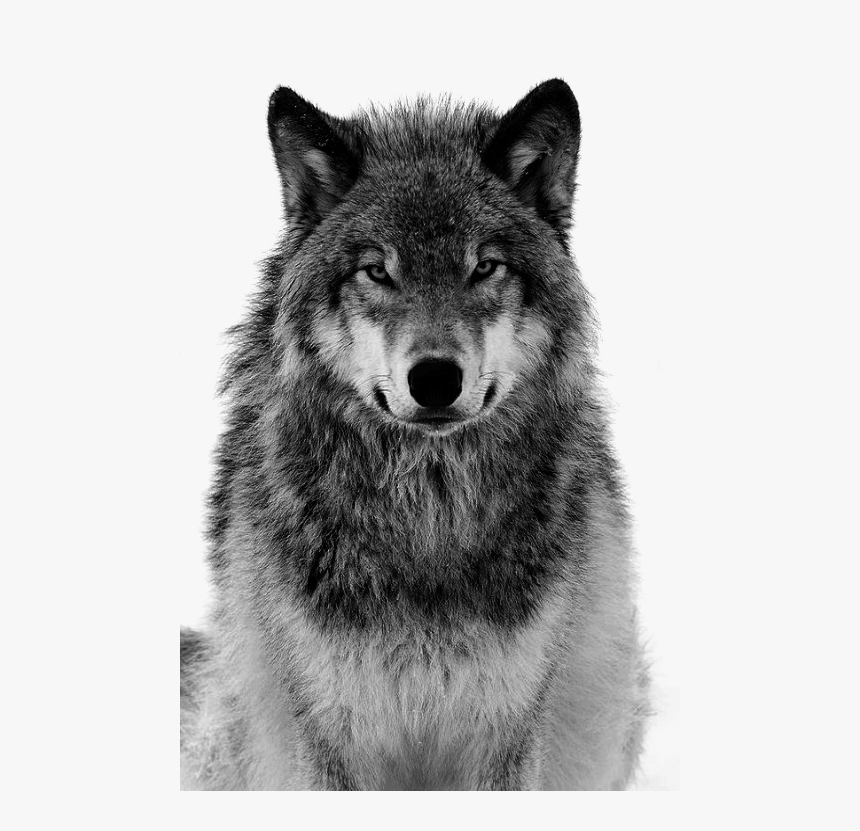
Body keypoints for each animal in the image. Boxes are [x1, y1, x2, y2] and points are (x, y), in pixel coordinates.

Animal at [180, 79, 649, 790]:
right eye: (378, 271)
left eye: (484, 267)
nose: (434, 378)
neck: (427, 520)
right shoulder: (328, 733)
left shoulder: (508, 731)